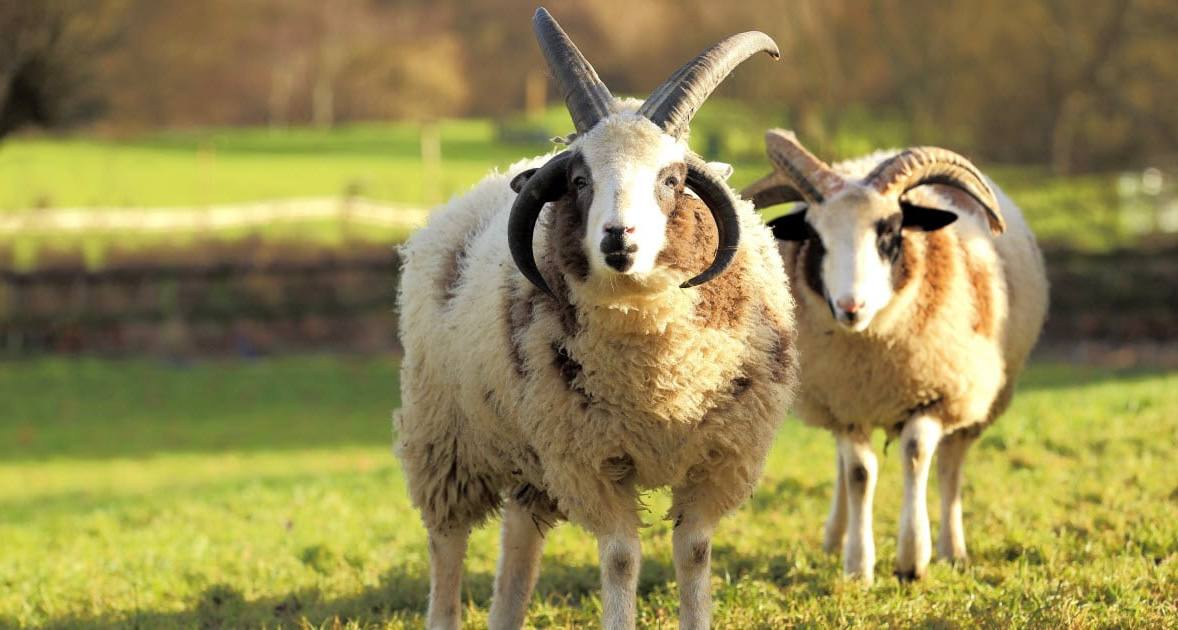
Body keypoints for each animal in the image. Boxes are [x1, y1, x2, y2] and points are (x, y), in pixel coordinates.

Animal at [394, 10, 796, 629]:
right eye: (580, 181)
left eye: (672, 180)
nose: (617, 238)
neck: (657, 374)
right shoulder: (591, 460)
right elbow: (622, 559)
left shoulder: (719, 458)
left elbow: (694, 551)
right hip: (445, 435)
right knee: (447, 542)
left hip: (529, 450)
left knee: (519, 540)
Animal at [742, 130, 1048, 584]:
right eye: (816, 239)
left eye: (889, 232)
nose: (850, 307)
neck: (874, 353)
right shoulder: (845, 403)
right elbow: (858, 473)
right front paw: (857, 565)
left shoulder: (937, 393)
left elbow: (917, 454)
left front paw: (912, 559)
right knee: (845, 466)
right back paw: (835, 537)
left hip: (977, 396)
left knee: (950, 466)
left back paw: (952, 548)